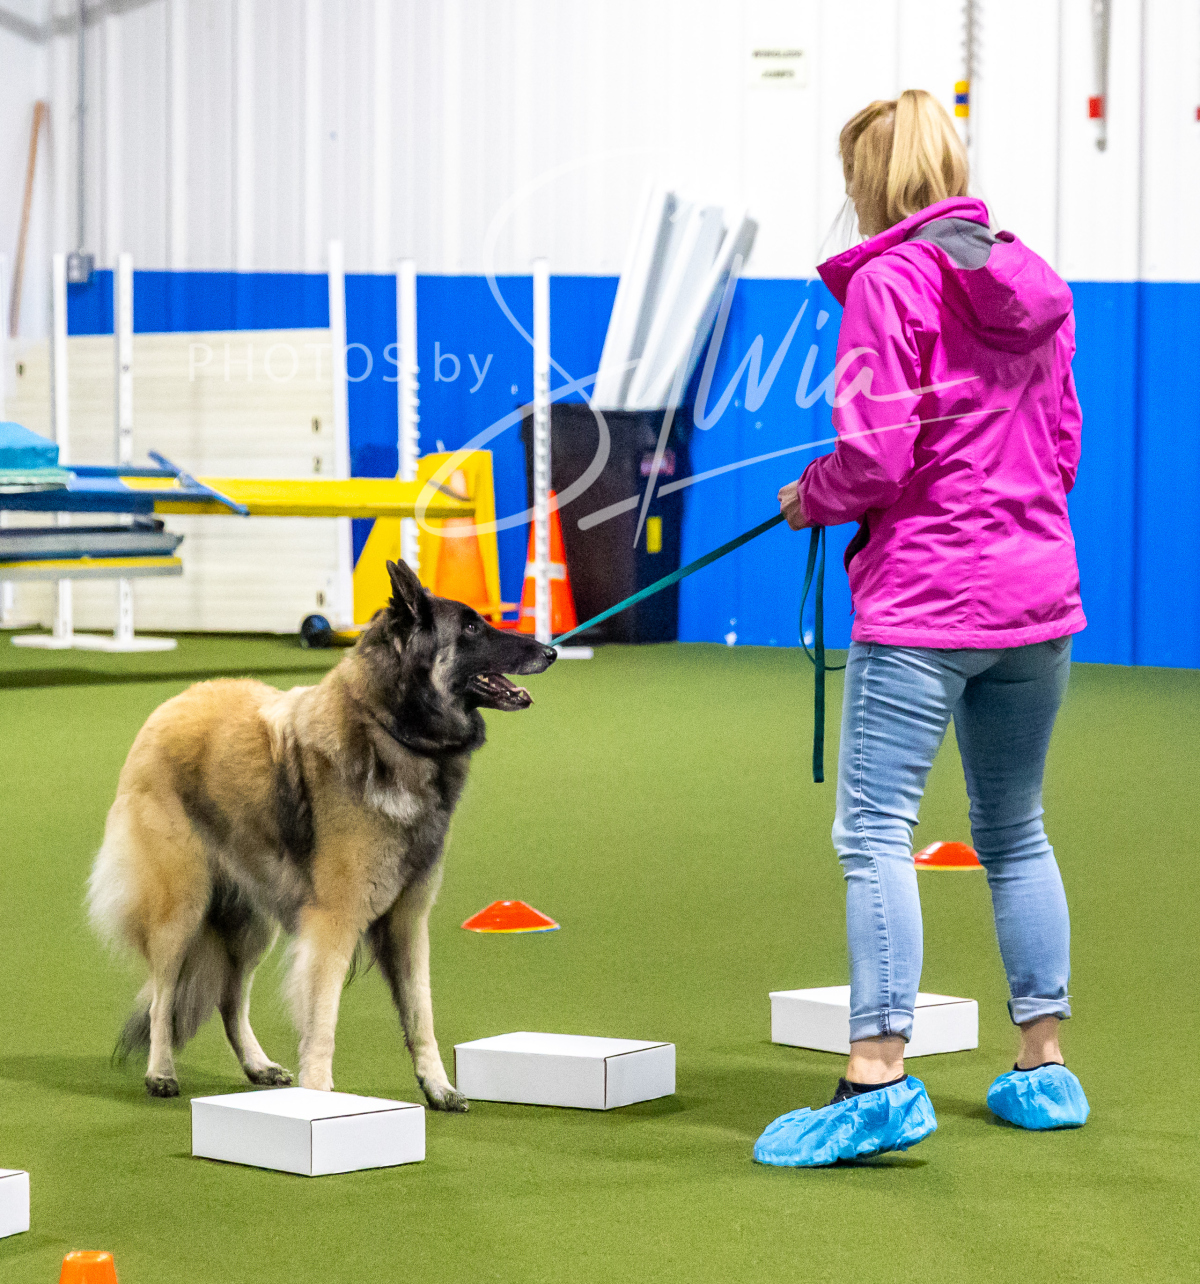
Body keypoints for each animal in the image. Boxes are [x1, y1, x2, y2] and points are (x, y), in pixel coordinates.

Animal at [88, 560, 555, 1106]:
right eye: (472, 628)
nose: (551, 651)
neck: (391, 731)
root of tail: (172, 704)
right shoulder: (333, 921)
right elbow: (323, 1023)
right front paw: (318, 1104)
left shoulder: (407, 921)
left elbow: (421, 1014)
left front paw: (438, 1087)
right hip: (181, 908)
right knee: (163, 995)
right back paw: (160, 1071)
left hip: (249, 923)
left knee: (230, 997)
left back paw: (257, 1065)